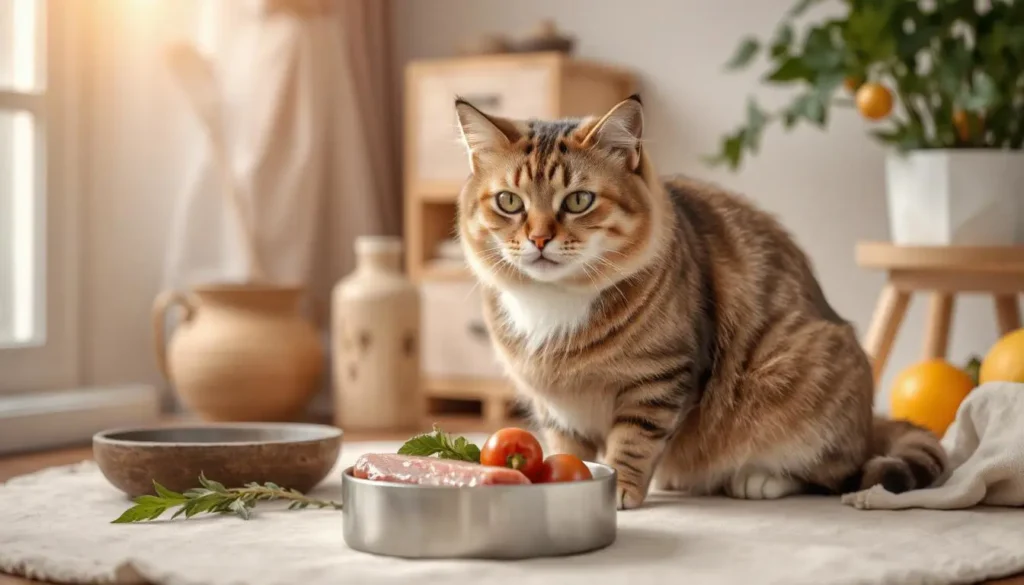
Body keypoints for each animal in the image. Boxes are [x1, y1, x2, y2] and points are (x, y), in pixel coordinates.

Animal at [452, 94, 946, 508]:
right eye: (509, 201)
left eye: (578, 201)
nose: (538, 239)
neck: (555, 303)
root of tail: (868, 423)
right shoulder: (555, 407)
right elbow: (566, 445)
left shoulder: (659, 377)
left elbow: (634, 440)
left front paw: (620, 487)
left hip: (807, 371)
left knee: (832, 471)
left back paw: (760, 480)